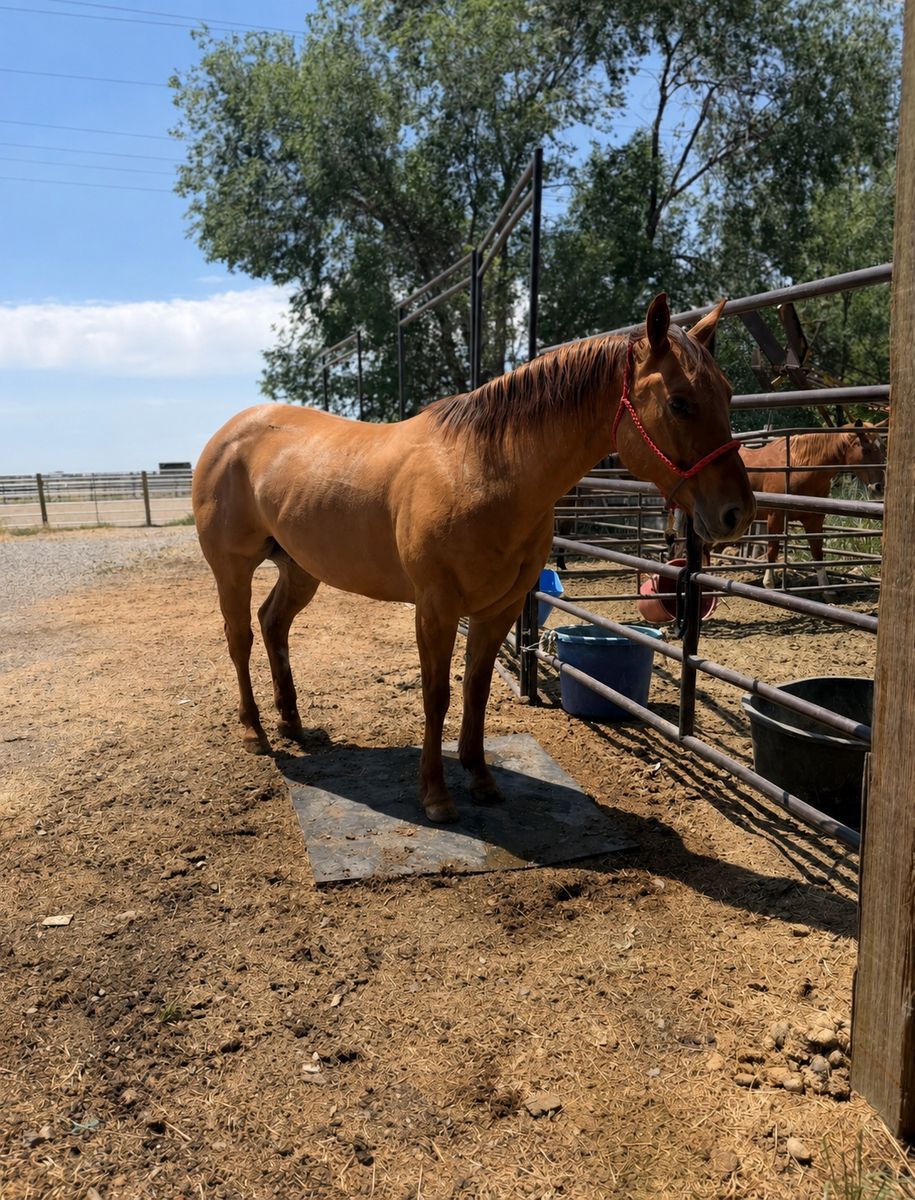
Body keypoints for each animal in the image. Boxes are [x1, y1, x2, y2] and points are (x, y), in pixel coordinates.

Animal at [193, 294, 755, 823]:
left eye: (728, 394)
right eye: (680, 403)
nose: (737, 513)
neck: (484, 470)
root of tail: (228, 435)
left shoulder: (499, 609)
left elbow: (477, 691)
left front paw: (481, 779)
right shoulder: (436, 609)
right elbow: (437, 694)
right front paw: (436, 796)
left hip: (300, 568)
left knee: (273, 624)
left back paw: (292, 723)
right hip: (231, 568)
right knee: (239, 638)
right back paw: (256, 733)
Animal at [739, 423, 886, 588]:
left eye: (882, 448)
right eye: (866, 449)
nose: (879, 487)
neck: (798, 467)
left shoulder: (814, 518)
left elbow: (817, 551)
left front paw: (826, 588)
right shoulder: (775, 516)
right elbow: (772, 550)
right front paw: (769, 583)